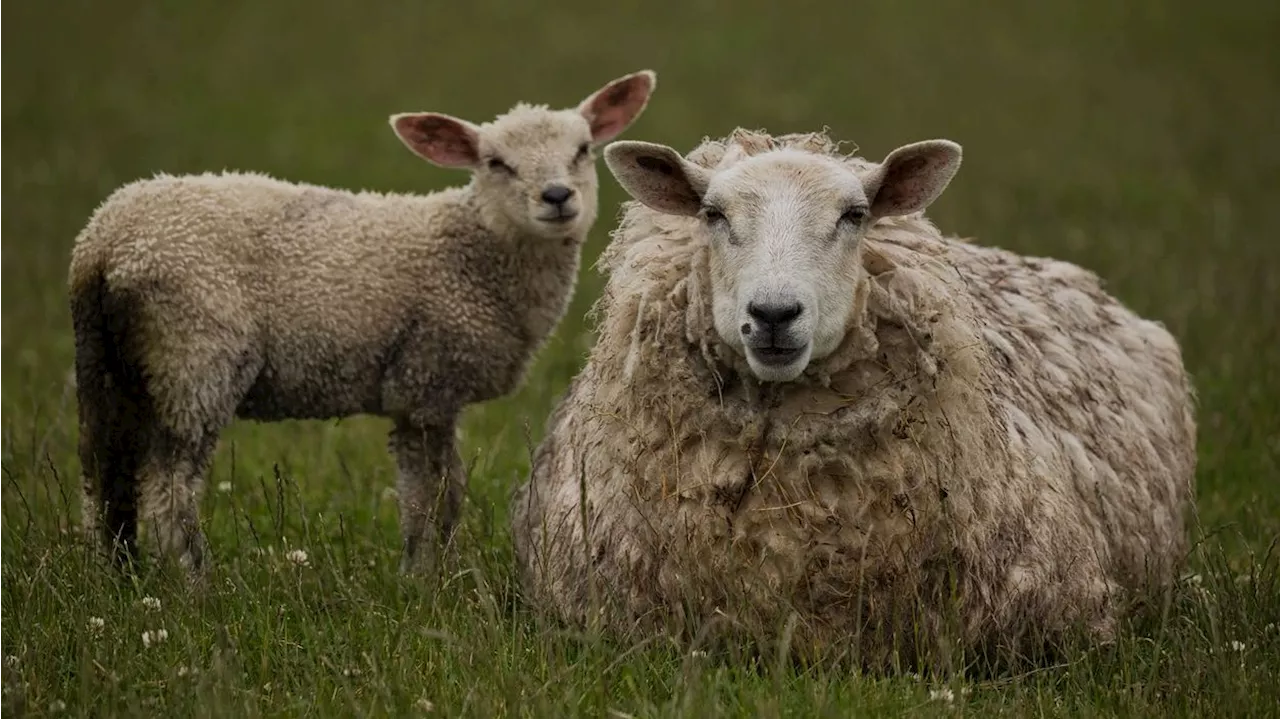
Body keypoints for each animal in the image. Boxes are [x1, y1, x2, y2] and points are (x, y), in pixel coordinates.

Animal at [67, 65, 660, 570]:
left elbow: (444, 493)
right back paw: (194, 587)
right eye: (495, 163)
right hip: (194, 357)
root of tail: (105, 243)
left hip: (109, 365)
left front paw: (434, 573)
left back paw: (120, 578)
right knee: (168, 490)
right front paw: (427, 580)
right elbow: (431, 499)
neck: (471, 253)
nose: (557, 197)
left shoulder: (429, 396)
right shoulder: (424, 382)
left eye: (582, 150)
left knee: (105, 480)